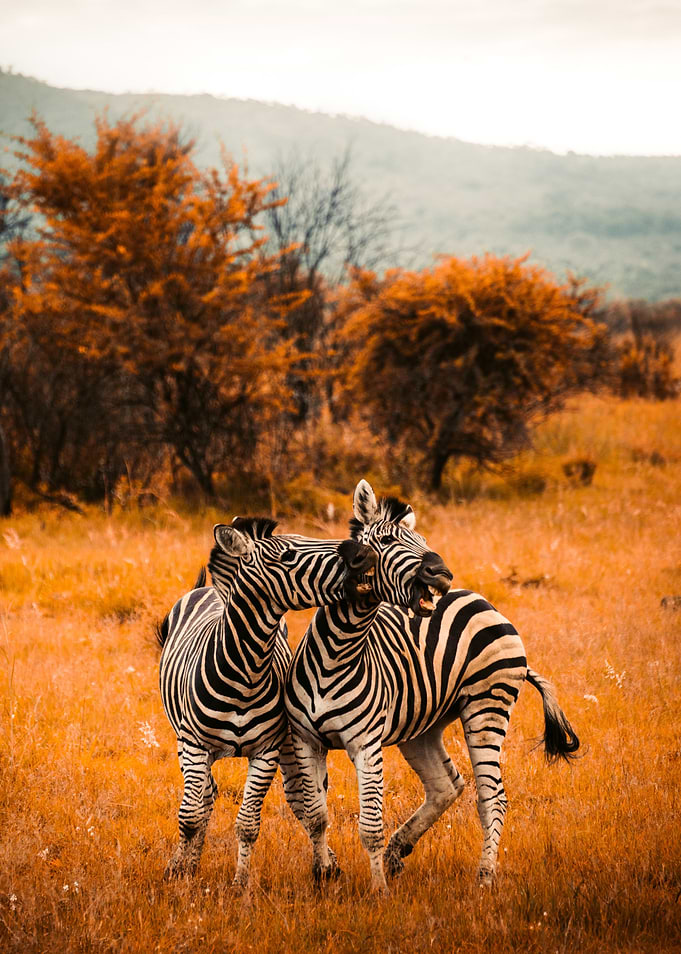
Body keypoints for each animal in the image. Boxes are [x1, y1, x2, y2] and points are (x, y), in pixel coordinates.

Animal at [157, 516, 375, 888]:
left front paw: (241, 884)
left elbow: (248, 824)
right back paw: (188, 864)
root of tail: (208, 588)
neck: (245, 669)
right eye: (287, 556)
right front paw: (180, 876)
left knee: (300, 797)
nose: (361, 554)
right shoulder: (195, 745)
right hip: (183, 742)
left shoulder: (267, 750)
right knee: (204, 798)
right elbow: (190, 817)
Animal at [285, 480, 579, 893]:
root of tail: (483, 601)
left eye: (423, 540)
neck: (337, 652)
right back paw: (398, 851)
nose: (442, 573)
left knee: (492, 798)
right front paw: (323, 878)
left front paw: (378, 893)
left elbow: (370, 826)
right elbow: (315, 816)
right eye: (388, 540)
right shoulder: (305, 739)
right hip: (422, 725)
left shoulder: (366, 743)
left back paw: (484, 877)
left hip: (486, 708)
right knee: (447, 785)